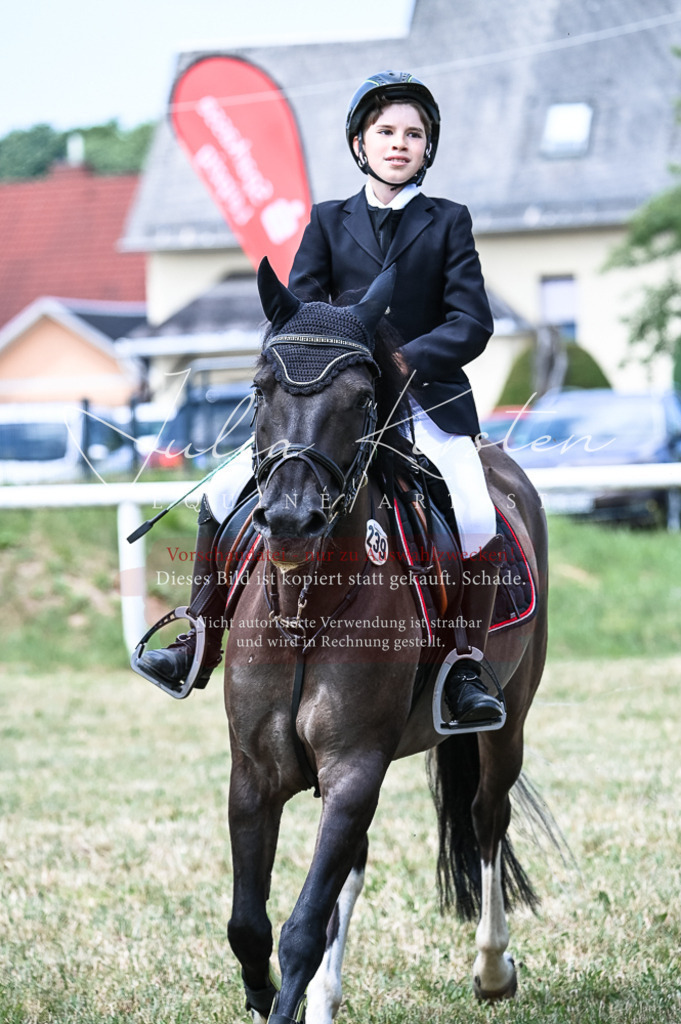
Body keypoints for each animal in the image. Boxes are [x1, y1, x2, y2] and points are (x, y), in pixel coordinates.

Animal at [221, 259, 549, 1024]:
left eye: (363, 397)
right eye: (259, 387)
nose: (291, 521)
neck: (306, 606)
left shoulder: (353, 767)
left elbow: (301, 927)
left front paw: (283, 995)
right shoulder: (253, 773)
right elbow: (249, 925)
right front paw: (267, 995)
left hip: (506, 721)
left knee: (486, 820)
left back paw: (492, 970)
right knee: (357, 866)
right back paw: (326, 998)